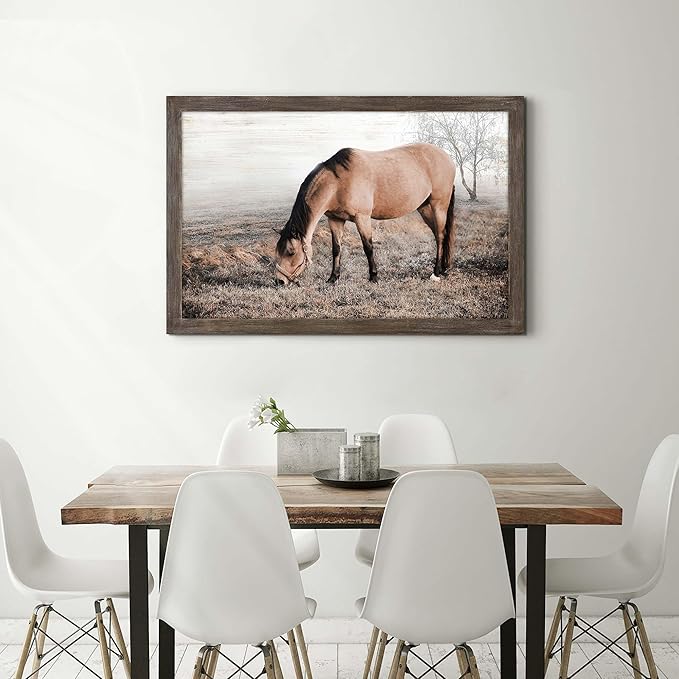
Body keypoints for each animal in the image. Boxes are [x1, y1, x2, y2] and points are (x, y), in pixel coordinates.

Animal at [273, 143, 456, 285]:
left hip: (439, 205)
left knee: (441, 235)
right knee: (438, 234)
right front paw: (333, 278)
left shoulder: (362, 218)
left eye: (291, 252)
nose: (279, 281)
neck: (338, 183)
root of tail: (447, 157)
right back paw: (444, 268)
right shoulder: (335, 220)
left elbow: (368, 247)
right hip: (424, 207)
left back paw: (436, 272)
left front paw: (373, 277)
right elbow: (336, 249)